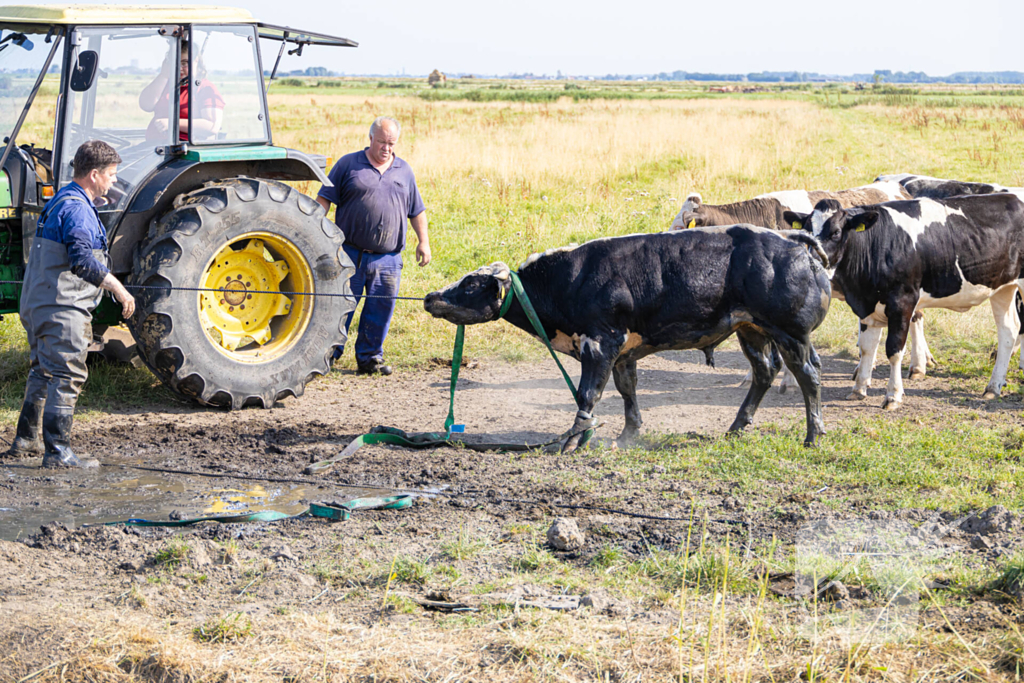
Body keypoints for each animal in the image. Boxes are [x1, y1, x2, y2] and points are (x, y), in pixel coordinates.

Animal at [423, 228, 831, 448]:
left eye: (471, 284)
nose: (430, 296)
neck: (566, 280)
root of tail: (791, 240)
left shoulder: (601, 343)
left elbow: (588, 394)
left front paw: (574, 439)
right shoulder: (623, 353)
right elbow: (626, 391)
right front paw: (627, 435)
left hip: (791, 333)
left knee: (808, 375)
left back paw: (813, 435)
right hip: (751, 330)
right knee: (764, 372)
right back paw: (735, 428)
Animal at [782, 194, 1024, 409]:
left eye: (836, 232)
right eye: (807, 231)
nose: (813, 261)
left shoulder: (902, 303)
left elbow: (894, 350)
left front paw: (893, 396)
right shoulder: (867, 306)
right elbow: (867, 348)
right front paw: (859, 389)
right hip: (1002, 289)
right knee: (1008, 331)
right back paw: (993, 387)